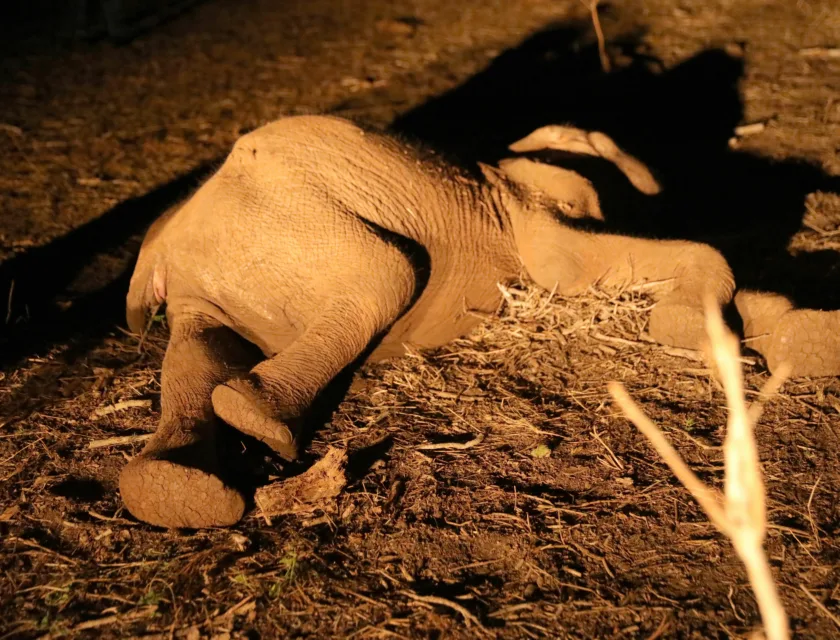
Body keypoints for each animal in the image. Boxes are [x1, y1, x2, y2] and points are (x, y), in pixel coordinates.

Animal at [118, 115, 831, 529]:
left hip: (210, 283)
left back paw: (174, 489)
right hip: (297, 223)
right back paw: (255, 423)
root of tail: (158, 251)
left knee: (197, 351)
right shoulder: (534, 208)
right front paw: (690, 327)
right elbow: (588, 261)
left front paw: (801, 338)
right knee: (386, 274)